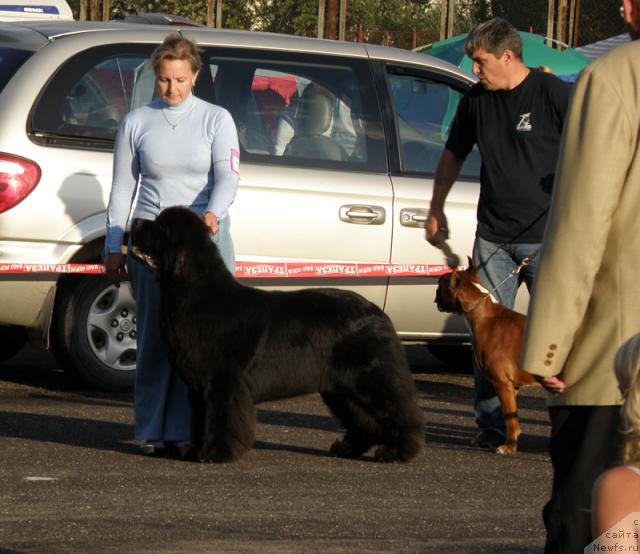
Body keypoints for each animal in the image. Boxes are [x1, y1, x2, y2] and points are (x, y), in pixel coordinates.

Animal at [129, 206, 424, 462]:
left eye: (161, 227)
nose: (135, 222)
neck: (191, 293)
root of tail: (377, 312)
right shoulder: (200, 387)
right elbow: (201, 419)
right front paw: (196, 449)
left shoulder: (223, 381)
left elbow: (220, 418)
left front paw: (215, 452)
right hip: (342, 390)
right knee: (362, 420)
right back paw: (346, 449)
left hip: (371, 380)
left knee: (399, 413)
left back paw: (398, 452)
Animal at [438, 258, 536, 452]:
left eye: (439, 284)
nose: (435, 295)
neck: (484, 313)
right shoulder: (512, 387)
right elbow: (512, 418)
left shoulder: (502, 383)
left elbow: (509, 418)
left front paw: (509, 447)